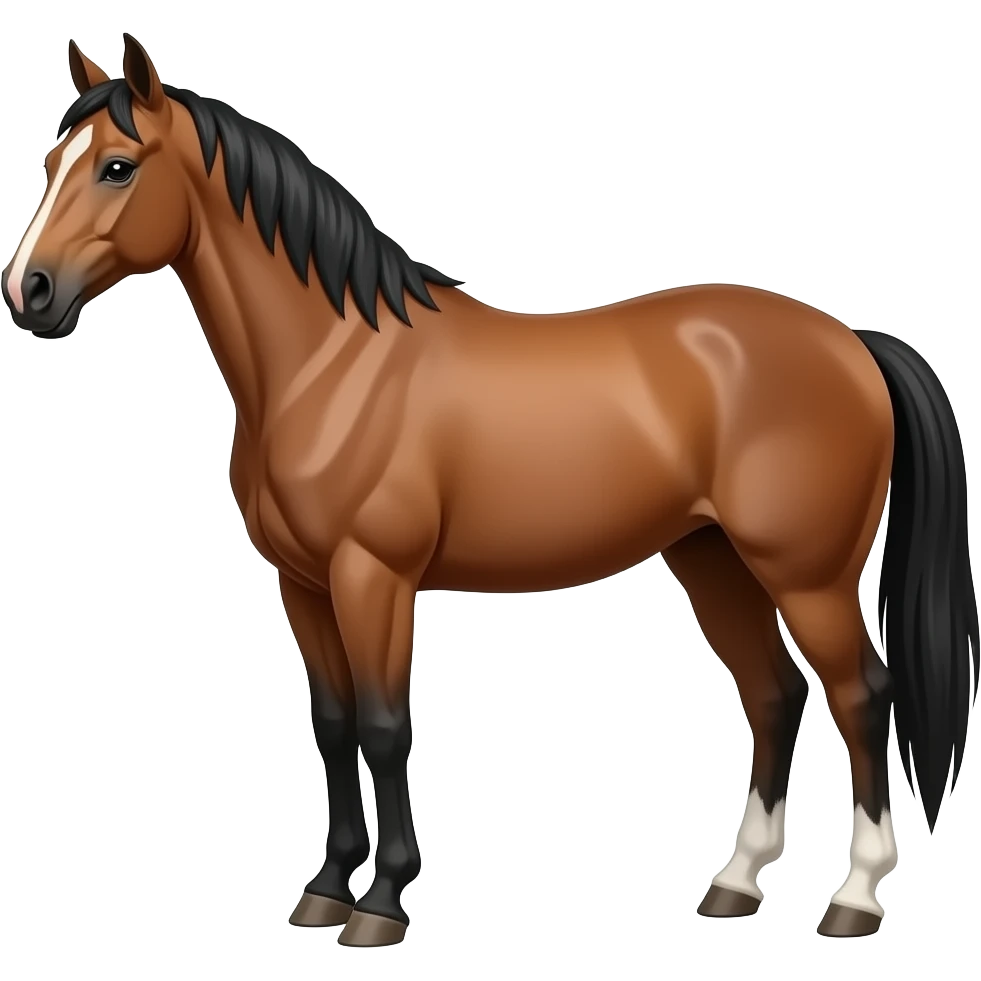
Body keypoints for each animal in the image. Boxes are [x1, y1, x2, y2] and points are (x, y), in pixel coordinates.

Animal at [2, 34, 977, 946]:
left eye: (118, 166)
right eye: (52, 163)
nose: (29, 291)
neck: (330, 363)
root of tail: (851, 341)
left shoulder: (373, 576)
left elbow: (386, 725)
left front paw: (381, 903)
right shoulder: (303, 581)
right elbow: (333, 722)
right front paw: (326, 888)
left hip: (806, 574)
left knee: (861, 695)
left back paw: (853, 897)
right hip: (712, 559)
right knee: (772, 693)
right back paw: (735, 883)